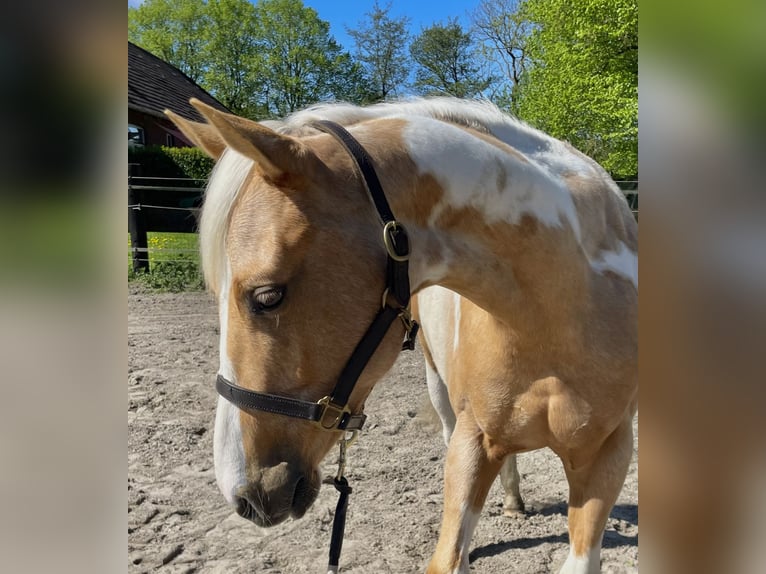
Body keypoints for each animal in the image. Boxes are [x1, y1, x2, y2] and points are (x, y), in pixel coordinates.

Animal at [166, 96, 638, 574]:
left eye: (267, 296)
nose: (243, 494)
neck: (559, 310)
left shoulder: (608, 454)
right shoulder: (472, 442)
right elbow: (449, 555)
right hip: (441, 392)